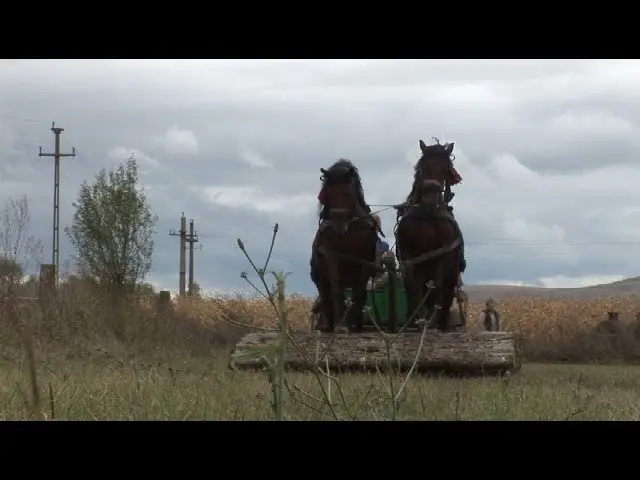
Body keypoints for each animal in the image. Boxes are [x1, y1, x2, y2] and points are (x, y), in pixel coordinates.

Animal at [310, 159, 380, 332]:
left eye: (347, 193)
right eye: (328, 194)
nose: (338, 226)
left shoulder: (365, 263)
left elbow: (359, 292)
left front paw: (355, 324)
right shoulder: (332, 258)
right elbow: (336, 290)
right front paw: (340, 325)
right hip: (321, 278)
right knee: (326, 296)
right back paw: (328, 324)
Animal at [396, 140, 464, 330]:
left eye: (445, 169)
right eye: (423, 166)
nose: (430, 199)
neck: (427, 214)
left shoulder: (445, 253)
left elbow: (437, 285)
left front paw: (432, 318)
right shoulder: (408, 255)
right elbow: (413, 284)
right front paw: (417, 318)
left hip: (452, 275)